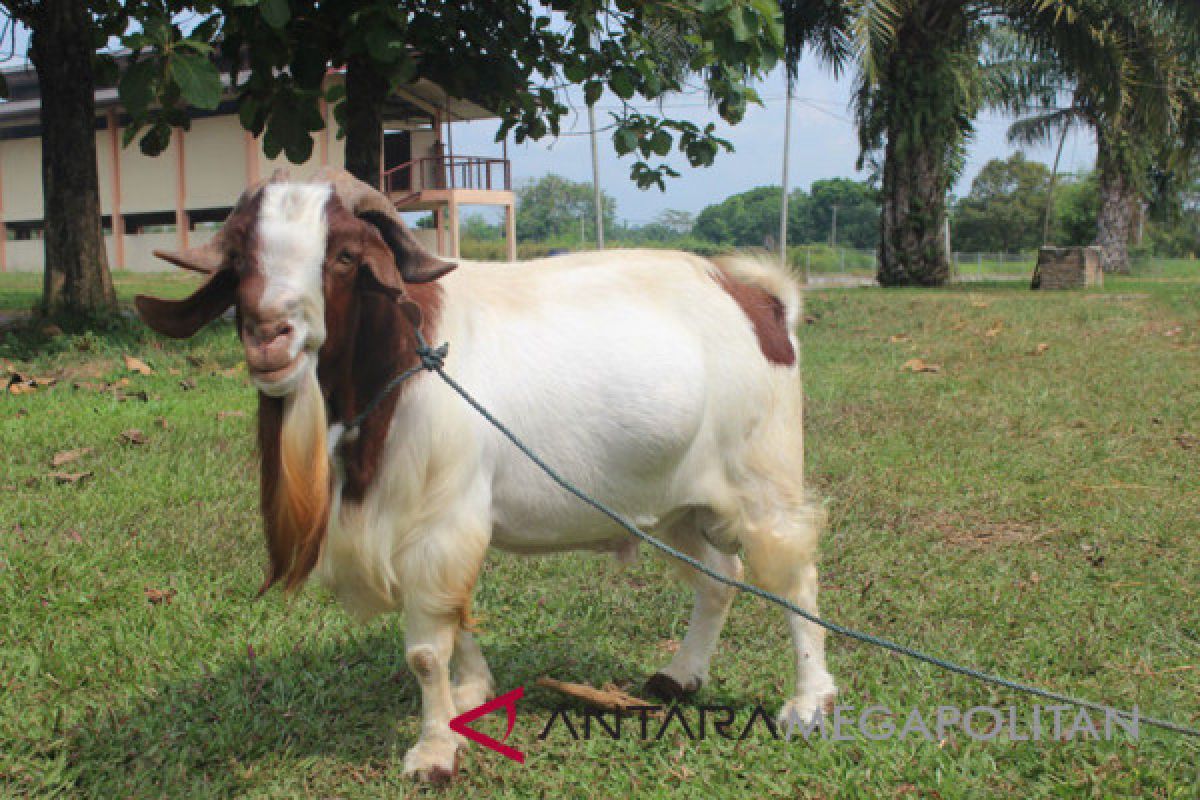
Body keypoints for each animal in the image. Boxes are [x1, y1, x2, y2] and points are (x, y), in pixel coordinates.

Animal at [136, 170, 835, 782]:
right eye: (240, 258)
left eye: (342, 255)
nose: (269, 336)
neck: (400, 360)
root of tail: (763, 304)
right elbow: (454, 620)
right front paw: (471, 692)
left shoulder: (440, 519)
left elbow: (425, 649)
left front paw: (434, 752)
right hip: (673, 504)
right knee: (720, 578)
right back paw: (679, 676)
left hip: (763, 478)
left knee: (794, 578)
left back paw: (808, 705)